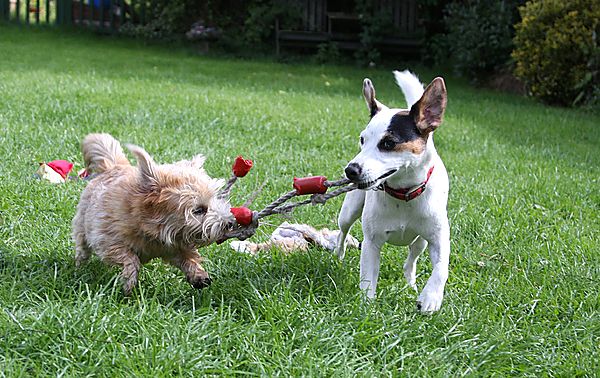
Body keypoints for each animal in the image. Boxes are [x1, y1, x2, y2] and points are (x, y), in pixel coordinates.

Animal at [72, 134, 234, 294]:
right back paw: (80, 265)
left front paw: (198, 275)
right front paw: (129, 282)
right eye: (199, 210)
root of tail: (113, 166)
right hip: (82, 224)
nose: (230, 223)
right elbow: (129, 258)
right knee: (82, 246)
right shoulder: (107, 240)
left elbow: (188, 258)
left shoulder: (174, 247)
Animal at [336, 71, 448, 314]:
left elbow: (441, 267)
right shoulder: (371, 242)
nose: (350, 170)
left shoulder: (438, 236)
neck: (403, 194)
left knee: (411, 260)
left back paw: (410, 284)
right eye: (362, 140)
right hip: (349, 211)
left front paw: (431, 297)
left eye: (388, 143)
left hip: (420, 241)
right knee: (342, 232)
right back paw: (338, 254)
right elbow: (368, 278)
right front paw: (366, 307)